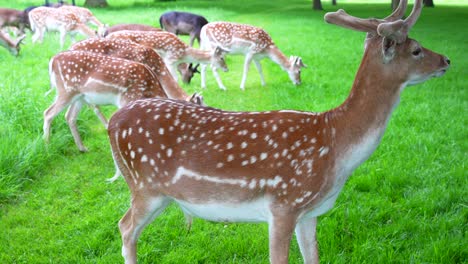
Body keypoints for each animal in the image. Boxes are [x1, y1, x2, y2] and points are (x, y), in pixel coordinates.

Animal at [105, 0, 450, 262]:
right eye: (416, 50)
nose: (446, 60)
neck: (336, 144)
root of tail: (112, 122)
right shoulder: (283, 204)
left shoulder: (310, 212)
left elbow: (313, 257)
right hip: (145, 187)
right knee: (124, 227)